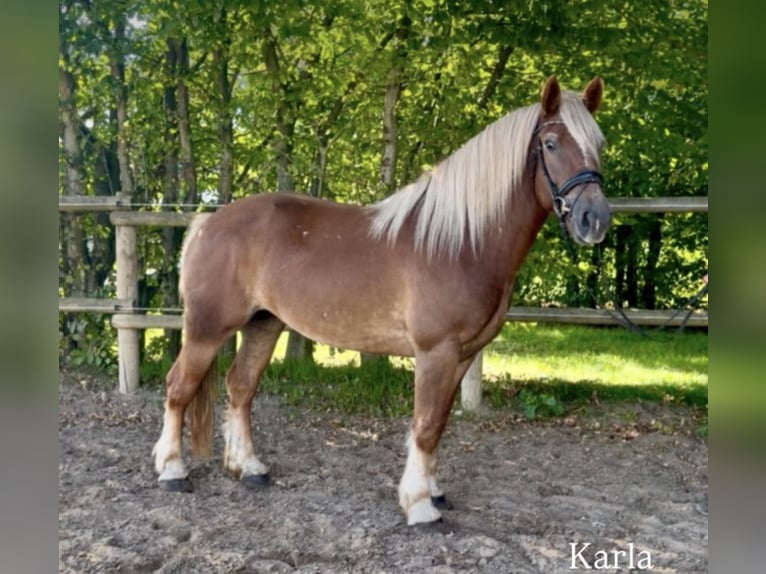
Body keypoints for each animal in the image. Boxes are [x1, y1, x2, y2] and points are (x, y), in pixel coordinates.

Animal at [153, 75, 611, 525]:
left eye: (599, 144)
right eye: (550, 144)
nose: (595, 219)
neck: (459, 242)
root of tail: (207, 223)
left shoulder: (462, 355)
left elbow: (440, 422)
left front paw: (434, 491)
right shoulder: (435, 352)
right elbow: (425, 424)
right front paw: (420, 505)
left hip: (263, 324)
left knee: (240, 387)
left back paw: (248, 468)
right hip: (207, 329)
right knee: (178, 387)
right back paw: (173, 470)